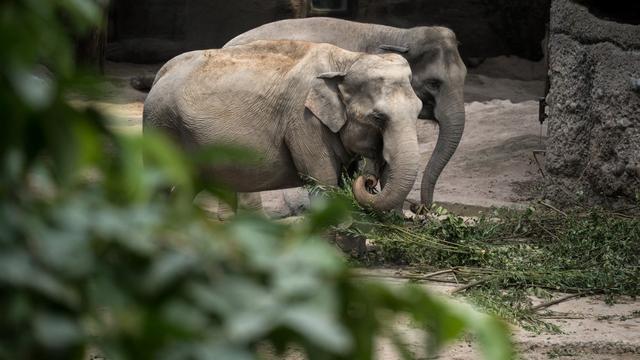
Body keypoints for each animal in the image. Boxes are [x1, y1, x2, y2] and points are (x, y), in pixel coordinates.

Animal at [145, 40, 424, 212]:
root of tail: (160, 73)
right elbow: (323, 180)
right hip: (162, 125)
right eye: (378, 117)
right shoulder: (303, 121)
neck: (346, 59)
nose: (369, 180)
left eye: (419, 111)